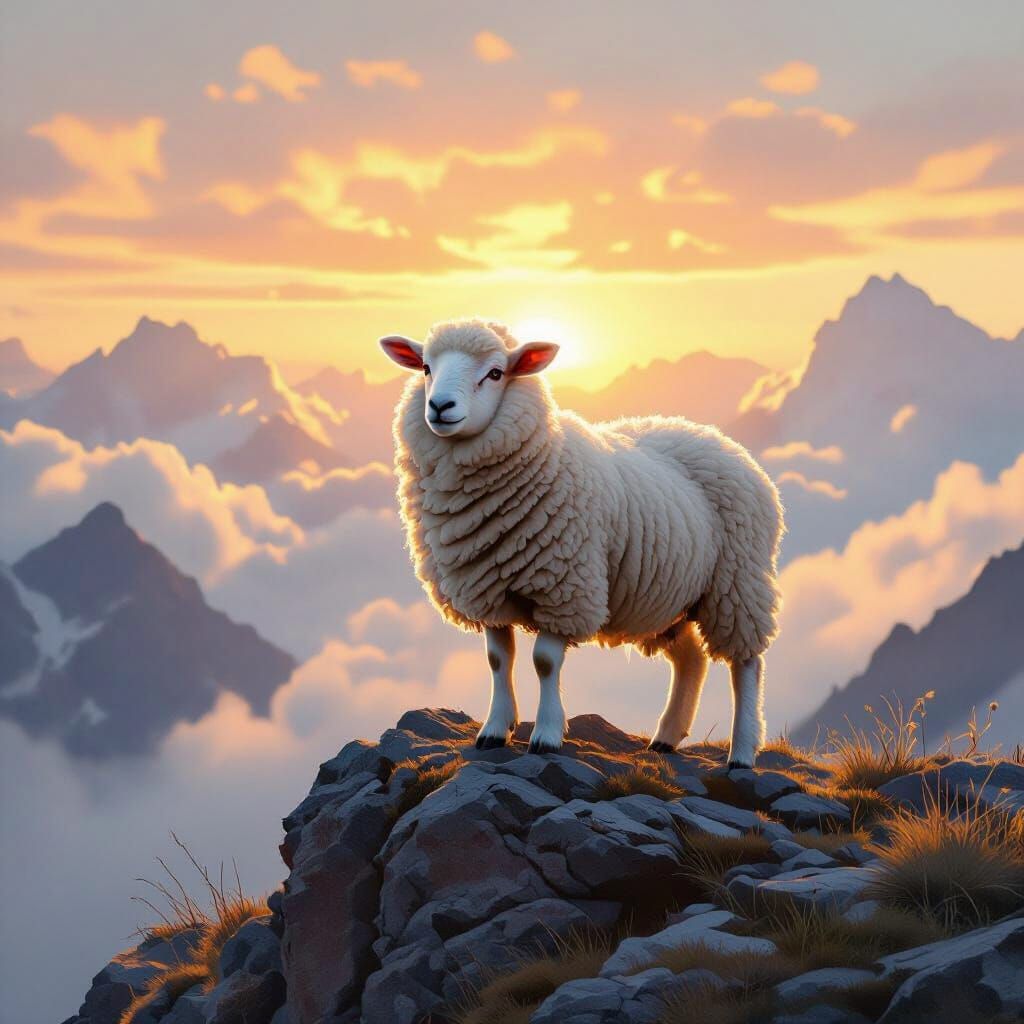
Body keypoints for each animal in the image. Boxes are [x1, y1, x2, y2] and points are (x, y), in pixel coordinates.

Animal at [379, 319, 784, 767]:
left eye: (496, 373)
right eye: (426, 368)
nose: (439, 406)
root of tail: (716, 438)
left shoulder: (565, 589)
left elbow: (544, 662)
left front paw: (546, 735)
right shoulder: (487, 590)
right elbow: (498, 660)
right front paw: (494, 731)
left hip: (738, 583)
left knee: (746, 665)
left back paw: (742, 752)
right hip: (672, 597)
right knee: (691, 659)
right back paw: (665, 738)